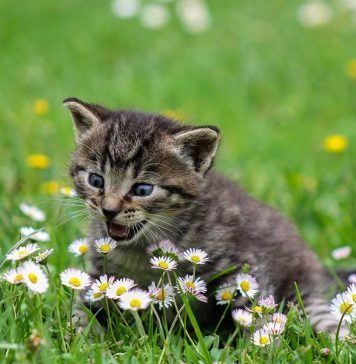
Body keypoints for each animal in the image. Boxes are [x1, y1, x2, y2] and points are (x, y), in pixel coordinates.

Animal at [64, 96, 340, 332]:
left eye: (142, 189)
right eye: (96, 180)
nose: (109, 210)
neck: (139, 249)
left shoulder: (243, 266)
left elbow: (254, 311)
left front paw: (262, 345)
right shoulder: (99, 272)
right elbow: (83, 306)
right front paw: (79, 334)